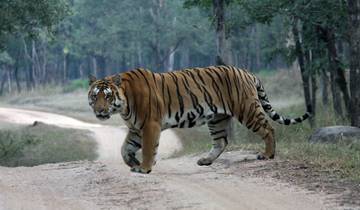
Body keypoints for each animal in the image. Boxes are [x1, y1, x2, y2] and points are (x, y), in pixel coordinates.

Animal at [88, 65, 310, 174]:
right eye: (94, 96)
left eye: (107, 96)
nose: (99, 110)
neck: (124, 104)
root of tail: (247, 72)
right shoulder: (136, 129)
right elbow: (124, 150)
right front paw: (133, 162)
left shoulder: (150, 125)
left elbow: (149, 148)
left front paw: (144, 167)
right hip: (217, 118)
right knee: (221, 141)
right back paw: (205, 160)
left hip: (247, 110)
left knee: (268, 129)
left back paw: (267, 154)